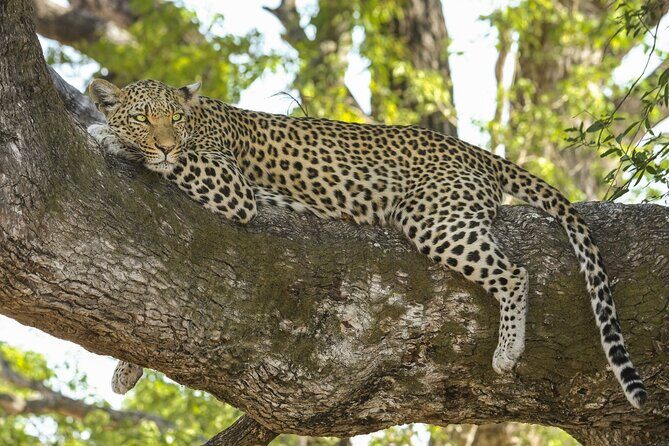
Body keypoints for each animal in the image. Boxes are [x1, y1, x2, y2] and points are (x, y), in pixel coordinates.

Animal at [87, 78, 647, 409]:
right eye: (144, 117)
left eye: (174, 120)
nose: (163, 142)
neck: (200, 119)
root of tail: (473, 150)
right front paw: (126, 368)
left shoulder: (231, 186)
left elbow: (177, 162)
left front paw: (105, 135)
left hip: (432, 217)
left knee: (514, 273)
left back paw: (508, 350)